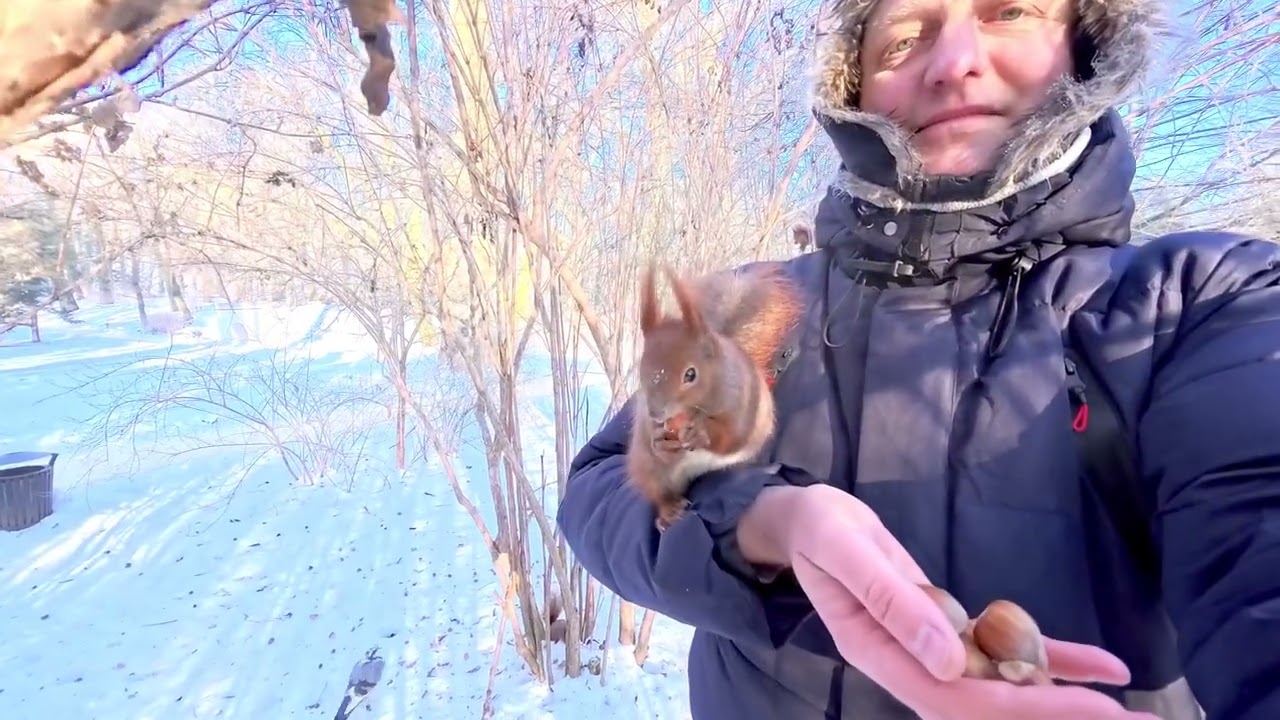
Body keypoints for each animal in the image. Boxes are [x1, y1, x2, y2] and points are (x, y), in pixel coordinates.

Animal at [625, 261, 805, 532]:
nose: (656, 413)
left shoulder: (743, 405)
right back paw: (669, 511)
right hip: (651, 471)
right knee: (660, 493)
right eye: (641, 369)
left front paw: (701, 433)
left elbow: (731, 435)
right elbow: (655, 444)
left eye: (690, 374)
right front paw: (660, 440)